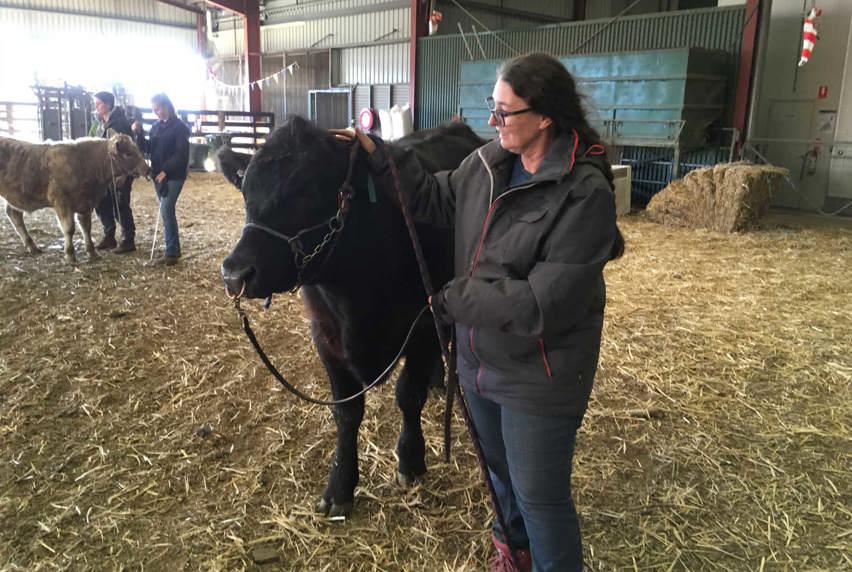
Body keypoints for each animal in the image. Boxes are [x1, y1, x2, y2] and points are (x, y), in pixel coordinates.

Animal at [0, 133, 149, 262]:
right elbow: (69, 228)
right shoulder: (61, 201)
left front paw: (92, 252)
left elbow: (86, 228)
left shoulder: (85, 204)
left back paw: (32, 246)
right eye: (128, 154)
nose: (147, 169)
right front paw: (70, 254)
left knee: (14, 214)